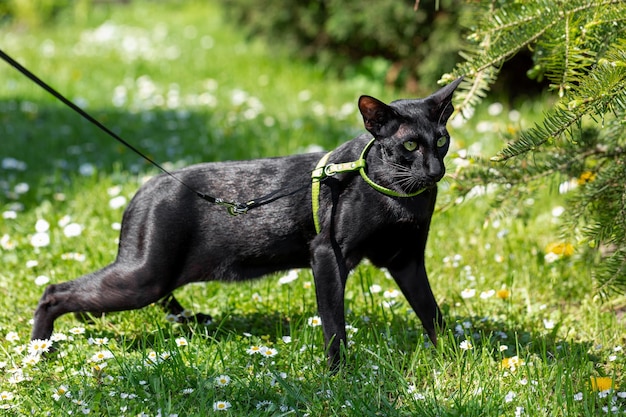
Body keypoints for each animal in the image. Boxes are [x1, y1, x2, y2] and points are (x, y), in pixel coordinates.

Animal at [33, 78, 464, 368]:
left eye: (442, 141)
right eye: (410, 145)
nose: (436, 171)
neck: (400, 195)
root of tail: (147, 187)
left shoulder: (407, 260)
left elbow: (433, 316)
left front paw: (454, 361)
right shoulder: (327, 255)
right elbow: (334, 326)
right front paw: (338, 378)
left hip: (152, 277)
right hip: (144, 277)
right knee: (54, 291)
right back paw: (39, 352)